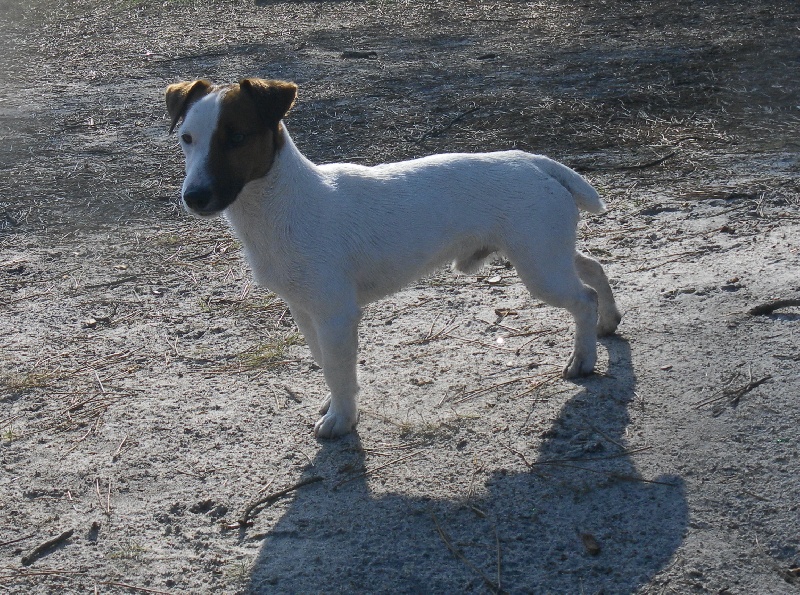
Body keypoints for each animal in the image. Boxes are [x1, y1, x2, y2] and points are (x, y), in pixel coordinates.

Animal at [166, 78, 620, 438]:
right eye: (186, 138)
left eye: (236, 137)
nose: (194, 197)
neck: (282, 205)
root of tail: (533, 162)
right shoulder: (305, 311)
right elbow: (326, 364)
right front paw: (337, 403)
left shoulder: (335, 315)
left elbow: (338, 369)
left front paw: (341, 418)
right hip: (547, 253)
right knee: (593, 268)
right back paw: (609, 321)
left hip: (539, 268)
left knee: (583, 298)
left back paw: (583, 359)